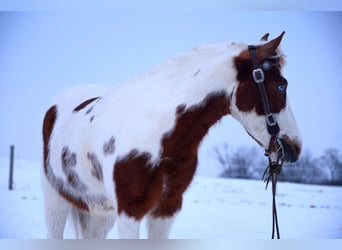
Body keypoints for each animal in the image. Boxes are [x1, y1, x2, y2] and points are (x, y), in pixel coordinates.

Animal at [41, 32, 300, 239]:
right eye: (281, 86)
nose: (294, 148)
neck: (155, 133)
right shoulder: (130, 212)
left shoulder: (167, 208)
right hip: (56, 203)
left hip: (100, 213)